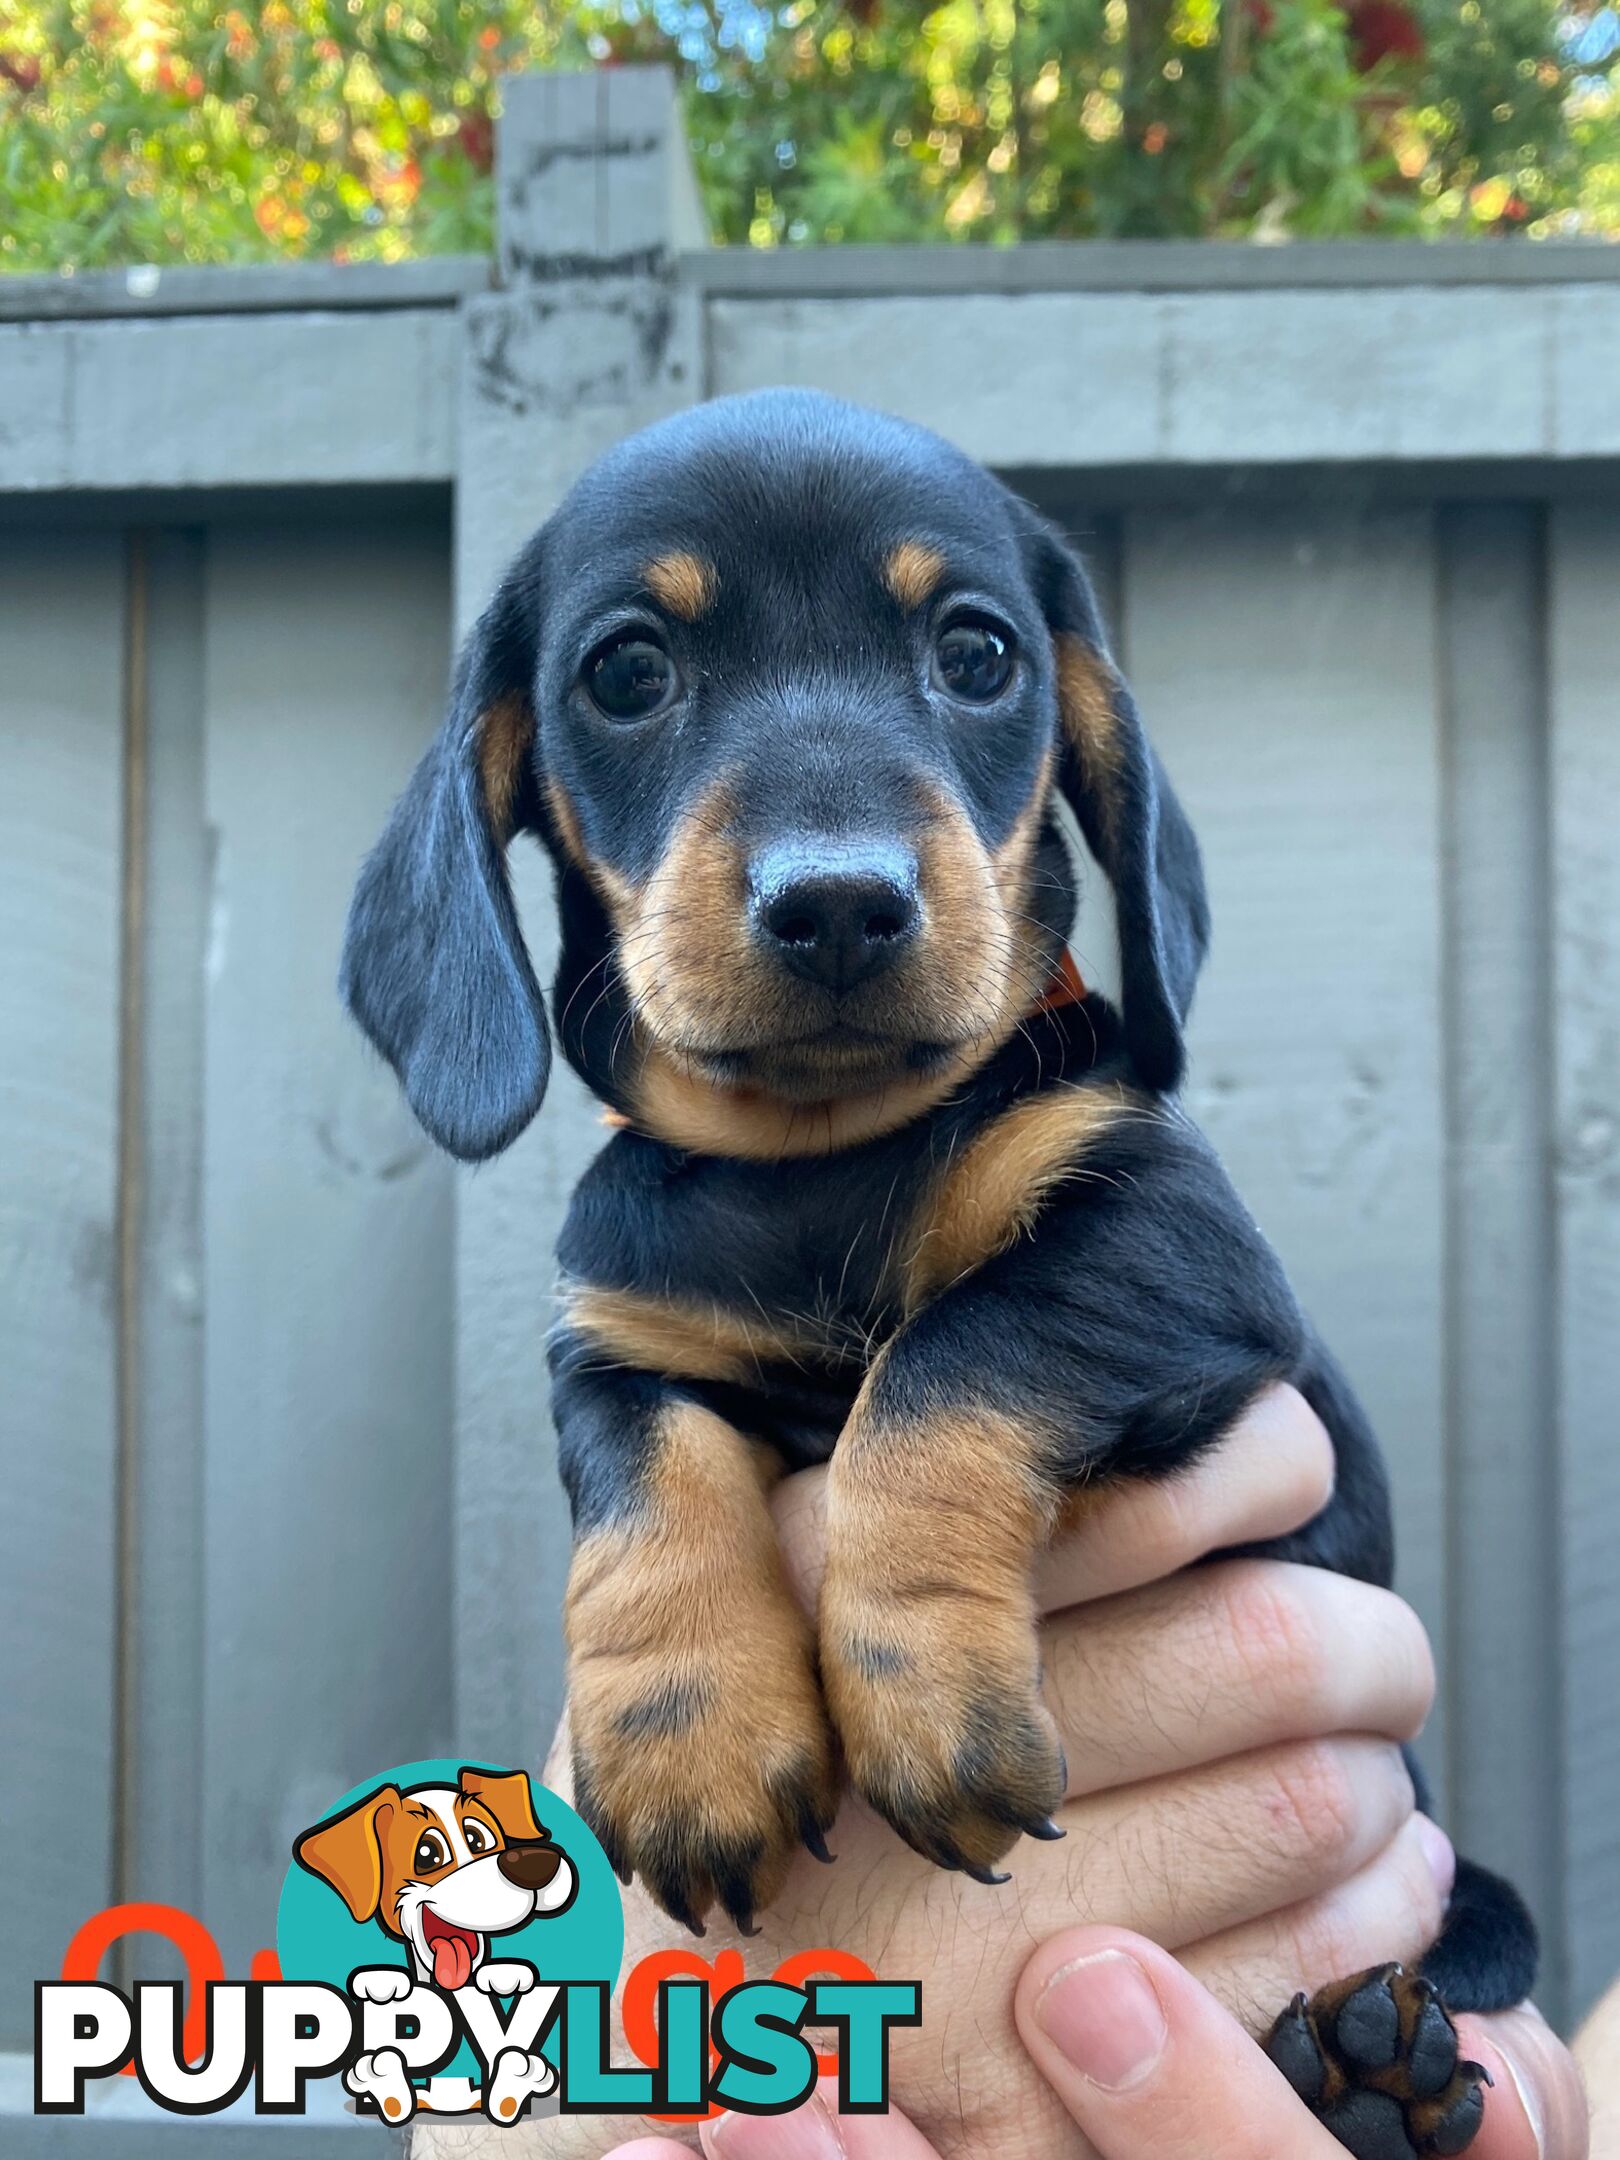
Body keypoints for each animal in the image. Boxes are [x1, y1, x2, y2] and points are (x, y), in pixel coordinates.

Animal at [339, 393, 1537, 2160]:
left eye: (976, 654)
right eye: (627, 672)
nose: (838, 902)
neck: (816, 1160)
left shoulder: (1164, 1245)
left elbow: (946, 1363)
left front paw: (923, 1686)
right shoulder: (617, 1338)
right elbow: (643, 1478)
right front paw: (688, 1734)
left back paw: (1369, 2071)